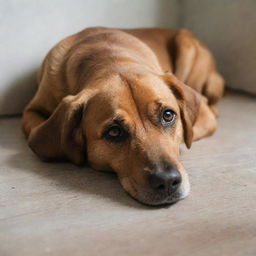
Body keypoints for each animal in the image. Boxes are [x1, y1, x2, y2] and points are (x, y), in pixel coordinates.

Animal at [22, 27, 224, 205]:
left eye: (168, 115)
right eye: (114, 131)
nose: (167, 181)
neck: (111, 58)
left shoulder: (204, 117)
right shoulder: (30, 112)